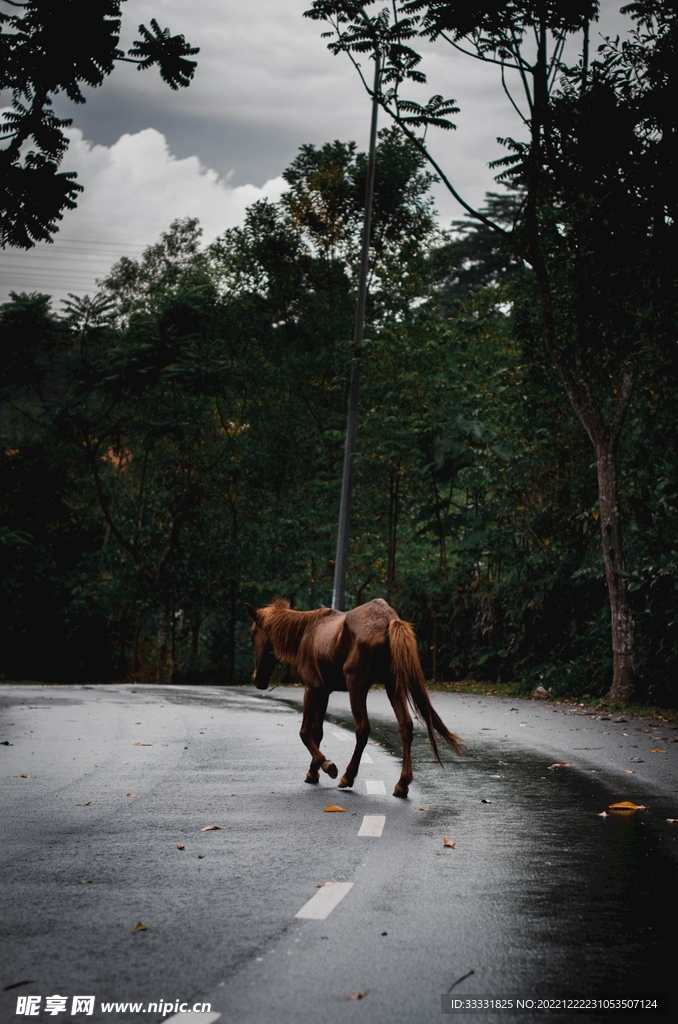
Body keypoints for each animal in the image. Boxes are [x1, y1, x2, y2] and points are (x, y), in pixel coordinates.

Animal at [245, 597, 463, 798]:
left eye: (253, 636)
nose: (257, 679)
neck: (306, 632)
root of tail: (389, 620)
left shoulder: (312, 688)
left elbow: (305, 732)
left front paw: (327, 765)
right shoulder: (324, 691)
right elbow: (318, 732)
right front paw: (313, 771)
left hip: (356, 687)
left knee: (363, 729)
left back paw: (348, 776)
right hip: (394, 685)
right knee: (406, 726)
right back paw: (402, 784)